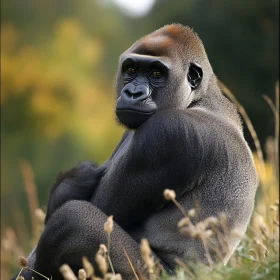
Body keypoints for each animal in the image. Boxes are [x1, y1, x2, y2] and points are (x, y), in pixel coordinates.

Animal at [13, 24, 258, 280]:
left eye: (157, 74)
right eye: (131, 70)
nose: (132, 93)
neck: (200, 98)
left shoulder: (168, 132)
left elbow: (87, 208)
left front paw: (74, 181)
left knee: (72, 220)